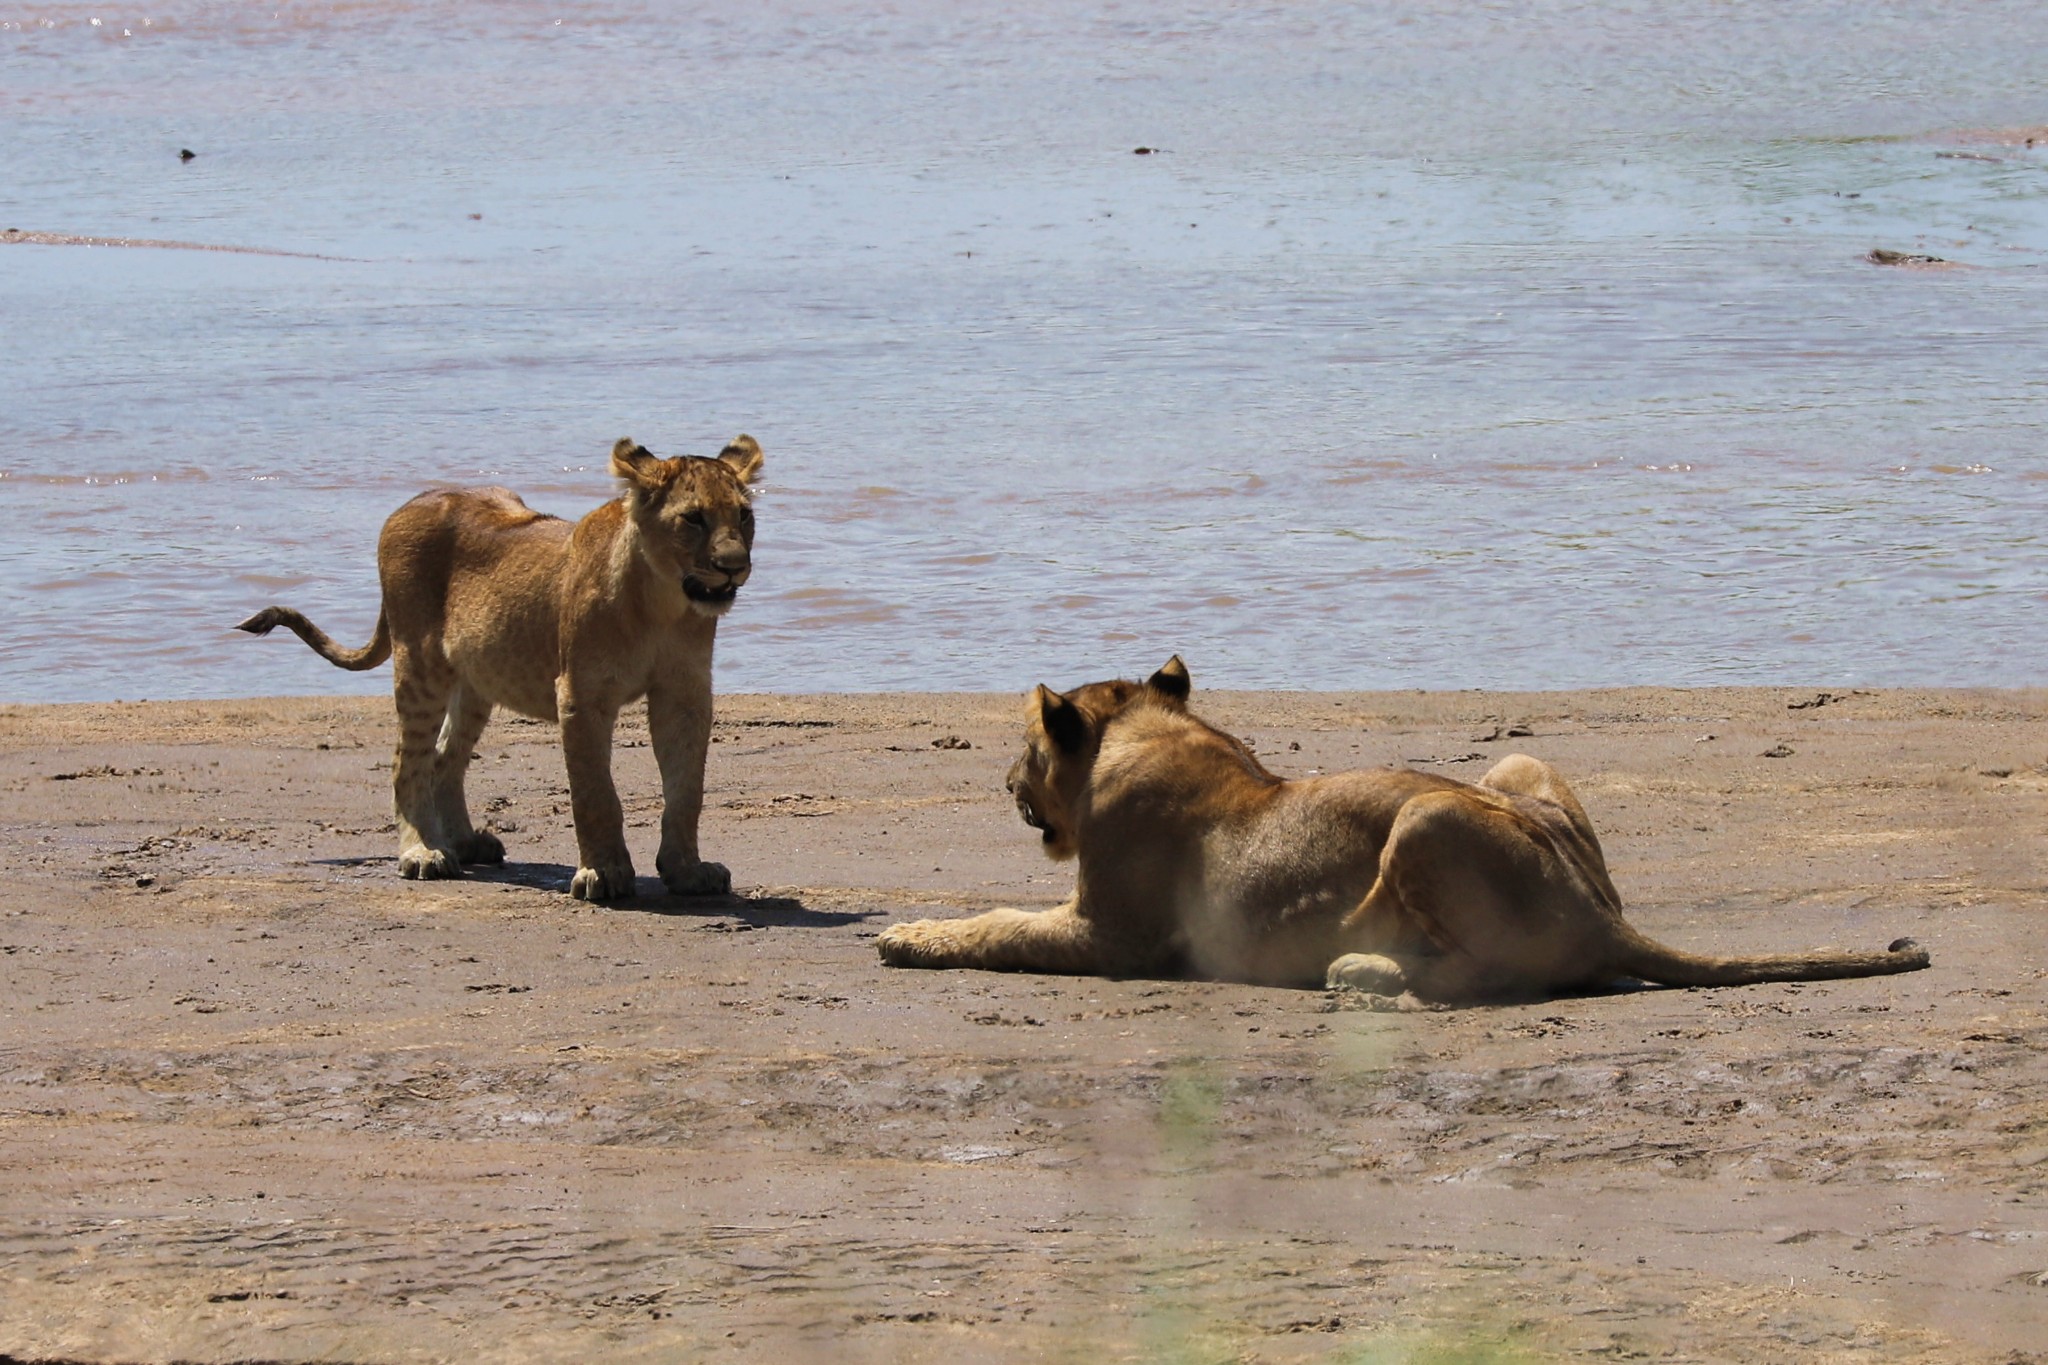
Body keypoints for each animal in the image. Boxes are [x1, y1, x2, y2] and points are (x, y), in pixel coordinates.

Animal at [234, 437, 761, 900]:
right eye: (692, 518)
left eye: (744, 515)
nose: (735, 565)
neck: (662, 602)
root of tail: (412, 502)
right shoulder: (580, 695)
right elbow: (595, 793)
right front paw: (605, 874)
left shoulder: (684, 693)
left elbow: (686, 790)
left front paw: (687, 871)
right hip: (420, 663)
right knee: (409, 761)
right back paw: (423, 853)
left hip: (475, 683)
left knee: (445, 759)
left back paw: (465, 843)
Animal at [872, 663, 1925, 1002]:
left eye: (1023, 748)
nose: (1005, 781)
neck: (1145, 729)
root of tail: (1599, 911)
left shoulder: (1112, 934)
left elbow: (996, 923)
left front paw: (901, 935)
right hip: (1514, 768)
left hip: (1421, 816)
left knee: (1492, 976)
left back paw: (1361, 971)